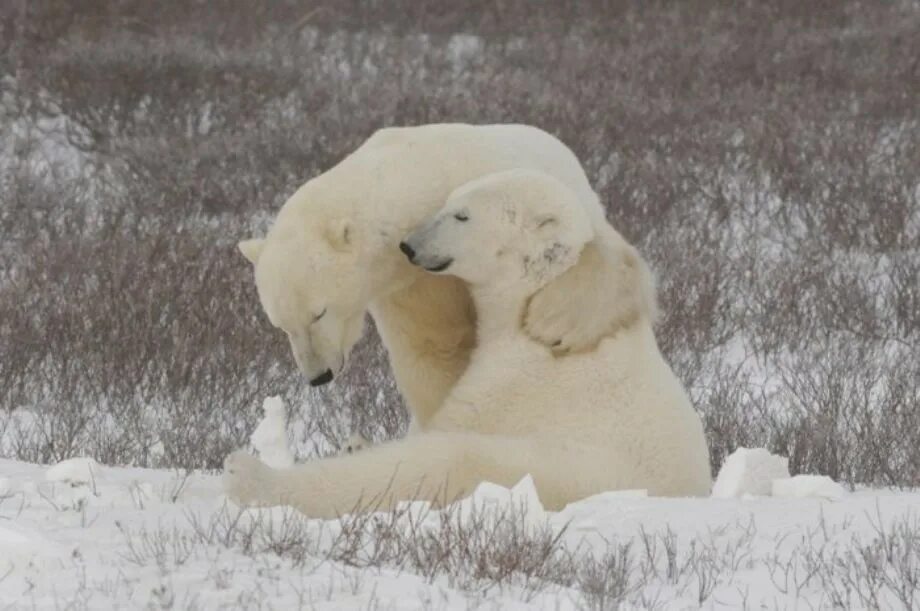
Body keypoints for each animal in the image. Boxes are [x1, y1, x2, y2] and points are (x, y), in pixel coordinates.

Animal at [223, 169, 712, 516]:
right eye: (445, 202)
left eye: (462, 214)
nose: (409, 245)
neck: (527, 304)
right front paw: (355, 442)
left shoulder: (523, 377)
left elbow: (453, 425)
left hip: (562, 470)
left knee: (447, 461)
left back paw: (249, 475)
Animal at [241, 124, 652, 430]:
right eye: (281, 325)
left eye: (319, 313)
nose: (319, 376)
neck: (418, 174)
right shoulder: (408, 284)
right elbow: (433, 352)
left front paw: (558, 321)